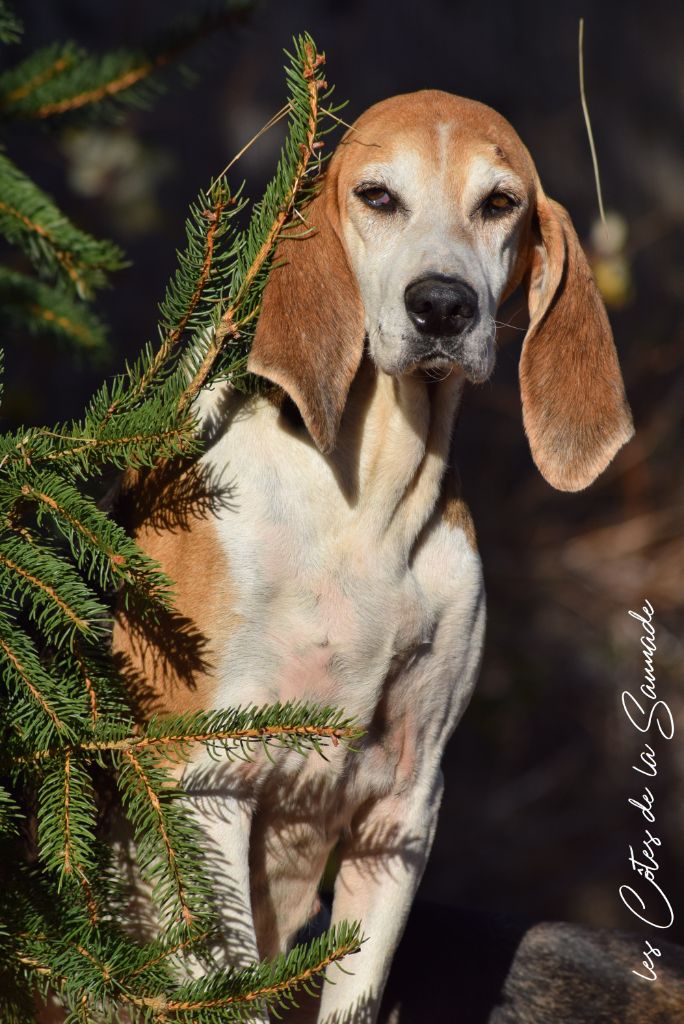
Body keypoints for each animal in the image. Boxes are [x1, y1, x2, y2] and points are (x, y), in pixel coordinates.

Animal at [112, 92, 630, 1019]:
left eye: (500, 203)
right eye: (378, 196)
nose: (443, 306)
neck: (370, 517)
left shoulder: (402, 814)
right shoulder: (203, 789)